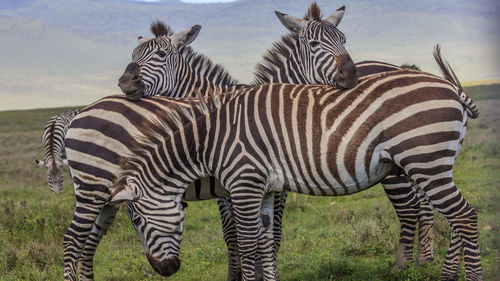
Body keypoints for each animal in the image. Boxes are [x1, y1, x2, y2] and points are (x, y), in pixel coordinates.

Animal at [110, 47, 484, 278]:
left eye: (137, 221)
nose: (164, 270)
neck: (211, 137)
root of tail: (451, 87)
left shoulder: (244, 184)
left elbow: (247, 244)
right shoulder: (261, 189)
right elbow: (262, 241)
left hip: (424, 161)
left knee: (463, 216)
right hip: (431, 164)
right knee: (452, 217)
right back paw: (446, 273)